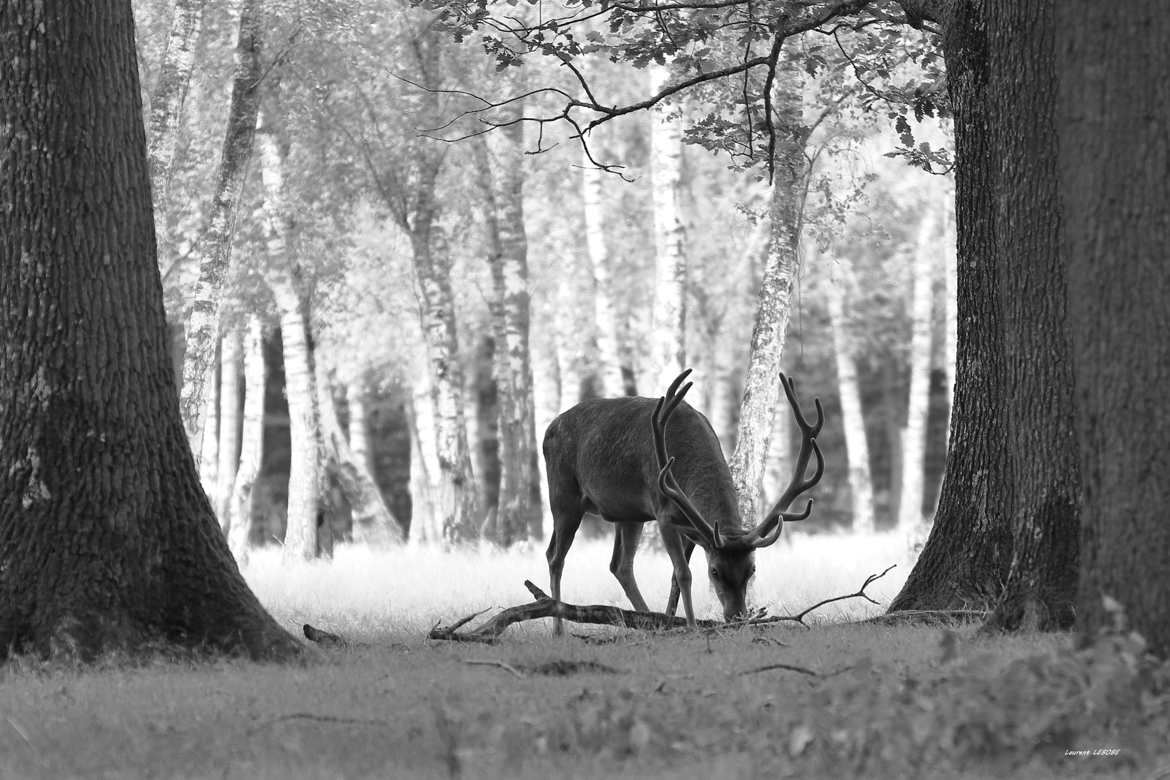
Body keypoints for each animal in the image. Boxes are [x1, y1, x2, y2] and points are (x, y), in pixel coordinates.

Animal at [540, 367, 823, 636]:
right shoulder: (663, 512)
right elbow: (684, 573)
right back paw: (558, 628)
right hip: (563, 496)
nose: (736, 617)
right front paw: (692, 626)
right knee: (554, 557)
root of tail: (548, 430)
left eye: (751, 569)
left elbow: (675, 577)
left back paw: (649, 620)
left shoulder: (691, 526)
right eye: (714, 571)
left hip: (629, 514)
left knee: (620, 564)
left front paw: (672, 620)